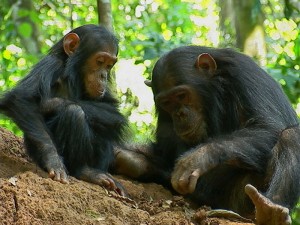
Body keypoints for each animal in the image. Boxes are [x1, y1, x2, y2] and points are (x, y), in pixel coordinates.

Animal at [0, 23, 126, 194]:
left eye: (109, 65)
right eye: (100, 61)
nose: (103, 76)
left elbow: (113, 112)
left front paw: (51, 103)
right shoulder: (51, 64)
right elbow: (21, 98)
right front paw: (53, 160)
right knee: (74, 112)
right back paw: (84, 171)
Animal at [115, 45, 300, 223]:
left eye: (181, 95)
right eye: (167, 102)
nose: (179, 114)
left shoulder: (246, 76)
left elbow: (268, 126)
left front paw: (197, 158)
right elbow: (165, 149)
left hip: (241, 200)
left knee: (291, 135)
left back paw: (272, 211)